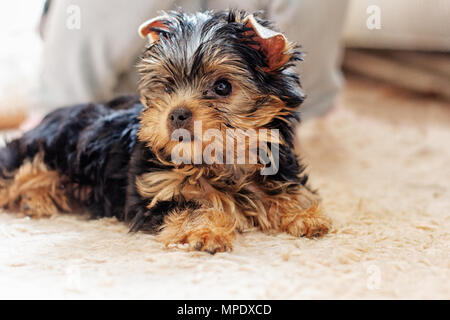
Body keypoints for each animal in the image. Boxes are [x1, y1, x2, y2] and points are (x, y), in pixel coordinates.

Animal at [0, 10, 330, 252]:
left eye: (223, 87)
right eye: (168, 86)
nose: (177, 113)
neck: (220, 161)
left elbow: (289, 189)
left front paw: (303, 214)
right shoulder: (153, 192)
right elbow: (193, 205)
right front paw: (206, 231)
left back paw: (35, 199)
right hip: (37, 150)